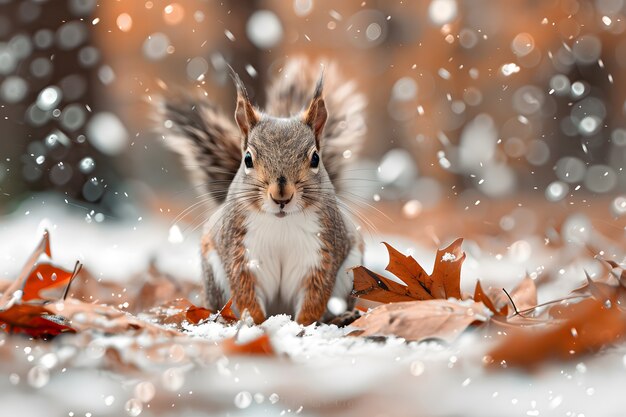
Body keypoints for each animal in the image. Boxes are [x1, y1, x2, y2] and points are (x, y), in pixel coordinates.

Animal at [155, 58, 366, 324]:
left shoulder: (321, 251)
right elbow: (246, 292)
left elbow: (314, 296)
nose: (281, 196)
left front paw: (303, 325)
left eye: (316, 158)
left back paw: (341, 317)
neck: (281, 223)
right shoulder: (240, 252)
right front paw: (256, 323)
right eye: (247, 158)